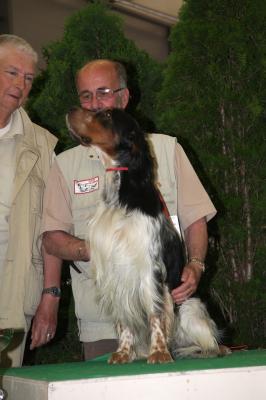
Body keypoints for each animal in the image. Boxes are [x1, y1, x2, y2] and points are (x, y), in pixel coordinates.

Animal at [66, 108, 224, 364]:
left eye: (106, 115)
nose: (71, 110)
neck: (122, 192)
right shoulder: (114, 271)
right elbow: (124, 321)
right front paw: (123, 352)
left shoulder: (149, 267)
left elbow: (155, 314)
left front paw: (158, 352)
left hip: (190, 308)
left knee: (209, 339)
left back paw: (211, 350)